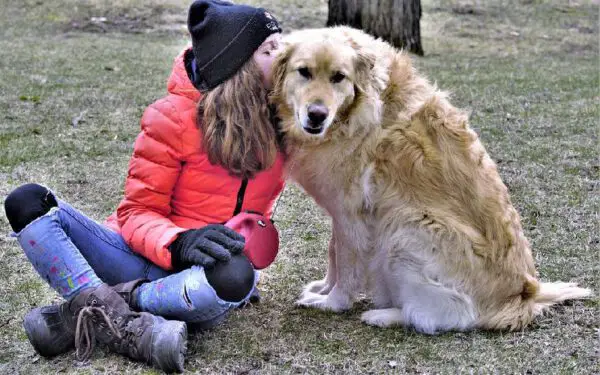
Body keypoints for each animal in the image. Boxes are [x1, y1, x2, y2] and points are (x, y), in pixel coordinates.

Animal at [270, 26, 592, 334]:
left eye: (339, 77)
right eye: (304, 72)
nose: (317, 115)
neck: (353, 113)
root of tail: (524, 296)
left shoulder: (352, 212)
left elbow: (346, 264)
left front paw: (331, 301)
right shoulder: (341, 211)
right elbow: (333, 252)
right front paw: (324, 287)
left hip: (405, 228)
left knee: (454, 313)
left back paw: (385, 315)